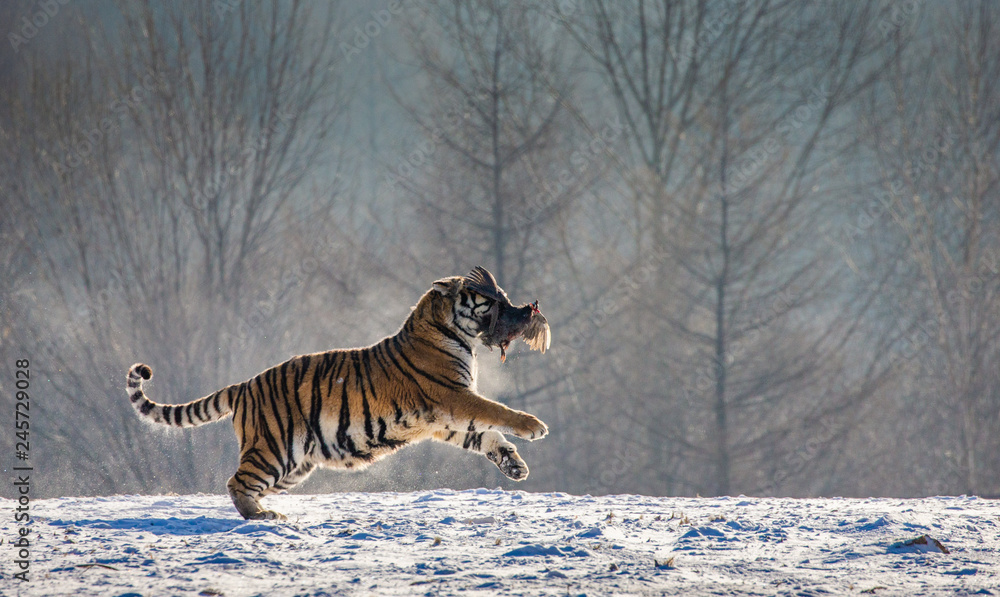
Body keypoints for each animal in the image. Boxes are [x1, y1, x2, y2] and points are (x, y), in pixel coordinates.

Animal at [125, 267, 552, 520]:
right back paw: (262, 517)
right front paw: (534, 426)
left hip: (294, 465)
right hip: (272, 450)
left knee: (248, 484)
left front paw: (514, 464)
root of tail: (243, 384)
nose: (523, 311)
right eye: (490, 299)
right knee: (235, 482)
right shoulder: (454, 397)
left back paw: (265, 512)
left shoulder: (441, 419)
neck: (453, 333)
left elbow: (485, 435)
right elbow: (497, 411)